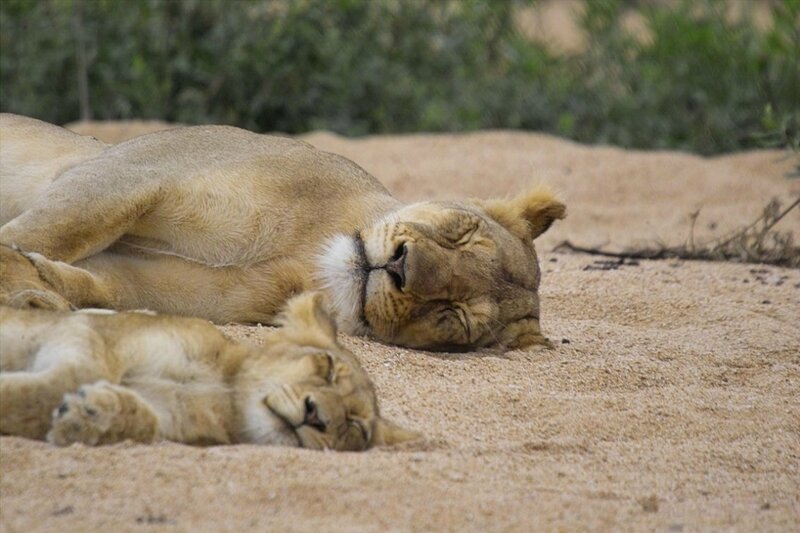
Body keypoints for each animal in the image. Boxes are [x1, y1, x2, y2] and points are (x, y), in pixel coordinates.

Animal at [0, 113, 566, 350]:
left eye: (456, 318)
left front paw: (37, 296)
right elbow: (47, 232)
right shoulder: (130, 173)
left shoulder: (177, 288)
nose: (402, 266)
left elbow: (92, 281)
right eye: (460, 230)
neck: (307, 253)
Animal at [0, 291, 418, 449]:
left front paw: (89, 415)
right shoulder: (90, 332)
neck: (221, 389)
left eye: (356, 428)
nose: (316, 417)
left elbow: (145, 422)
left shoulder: (170, 417)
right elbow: (63, 378)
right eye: (328, 367)